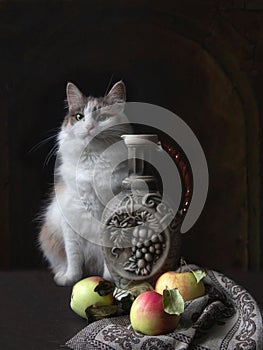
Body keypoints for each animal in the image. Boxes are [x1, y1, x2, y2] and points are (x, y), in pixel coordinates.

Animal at [38, 80, 131, 286]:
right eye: (79, 117)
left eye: (102, 117)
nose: (88, 127)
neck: (92, 162)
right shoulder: (71, 217)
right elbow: (73, 256)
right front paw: (71, 278)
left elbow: (109, 253)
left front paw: (109, 279)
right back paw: (61, 274)